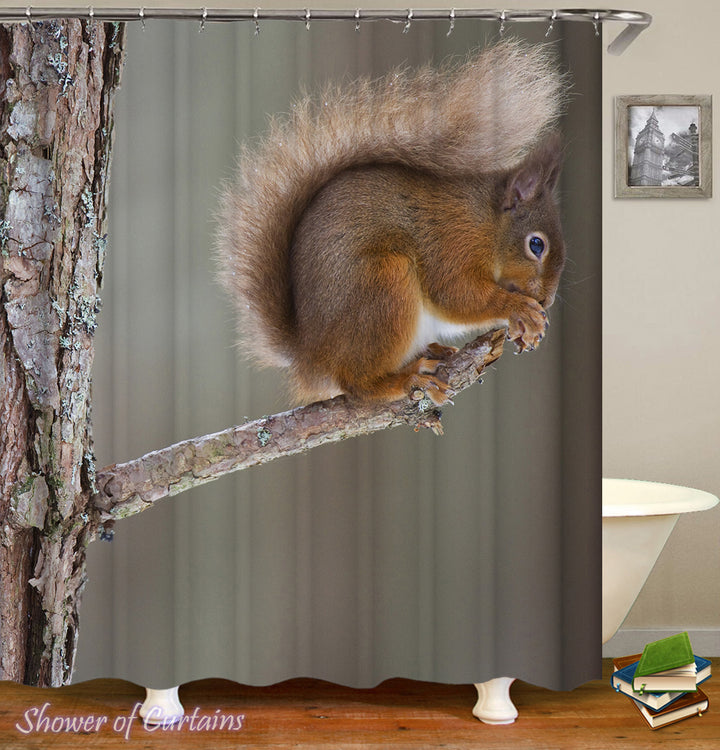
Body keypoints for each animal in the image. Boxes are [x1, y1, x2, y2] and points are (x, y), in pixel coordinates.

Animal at [216, 40, 567, 405]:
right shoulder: (451, 243)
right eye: (536, 245)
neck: (486, 222)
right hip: (384, 284)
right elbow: (456, 295)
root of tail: (311, 357)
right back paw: (407, 378)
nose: (546, 301)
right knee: (357, 383)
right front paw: (519, 310)